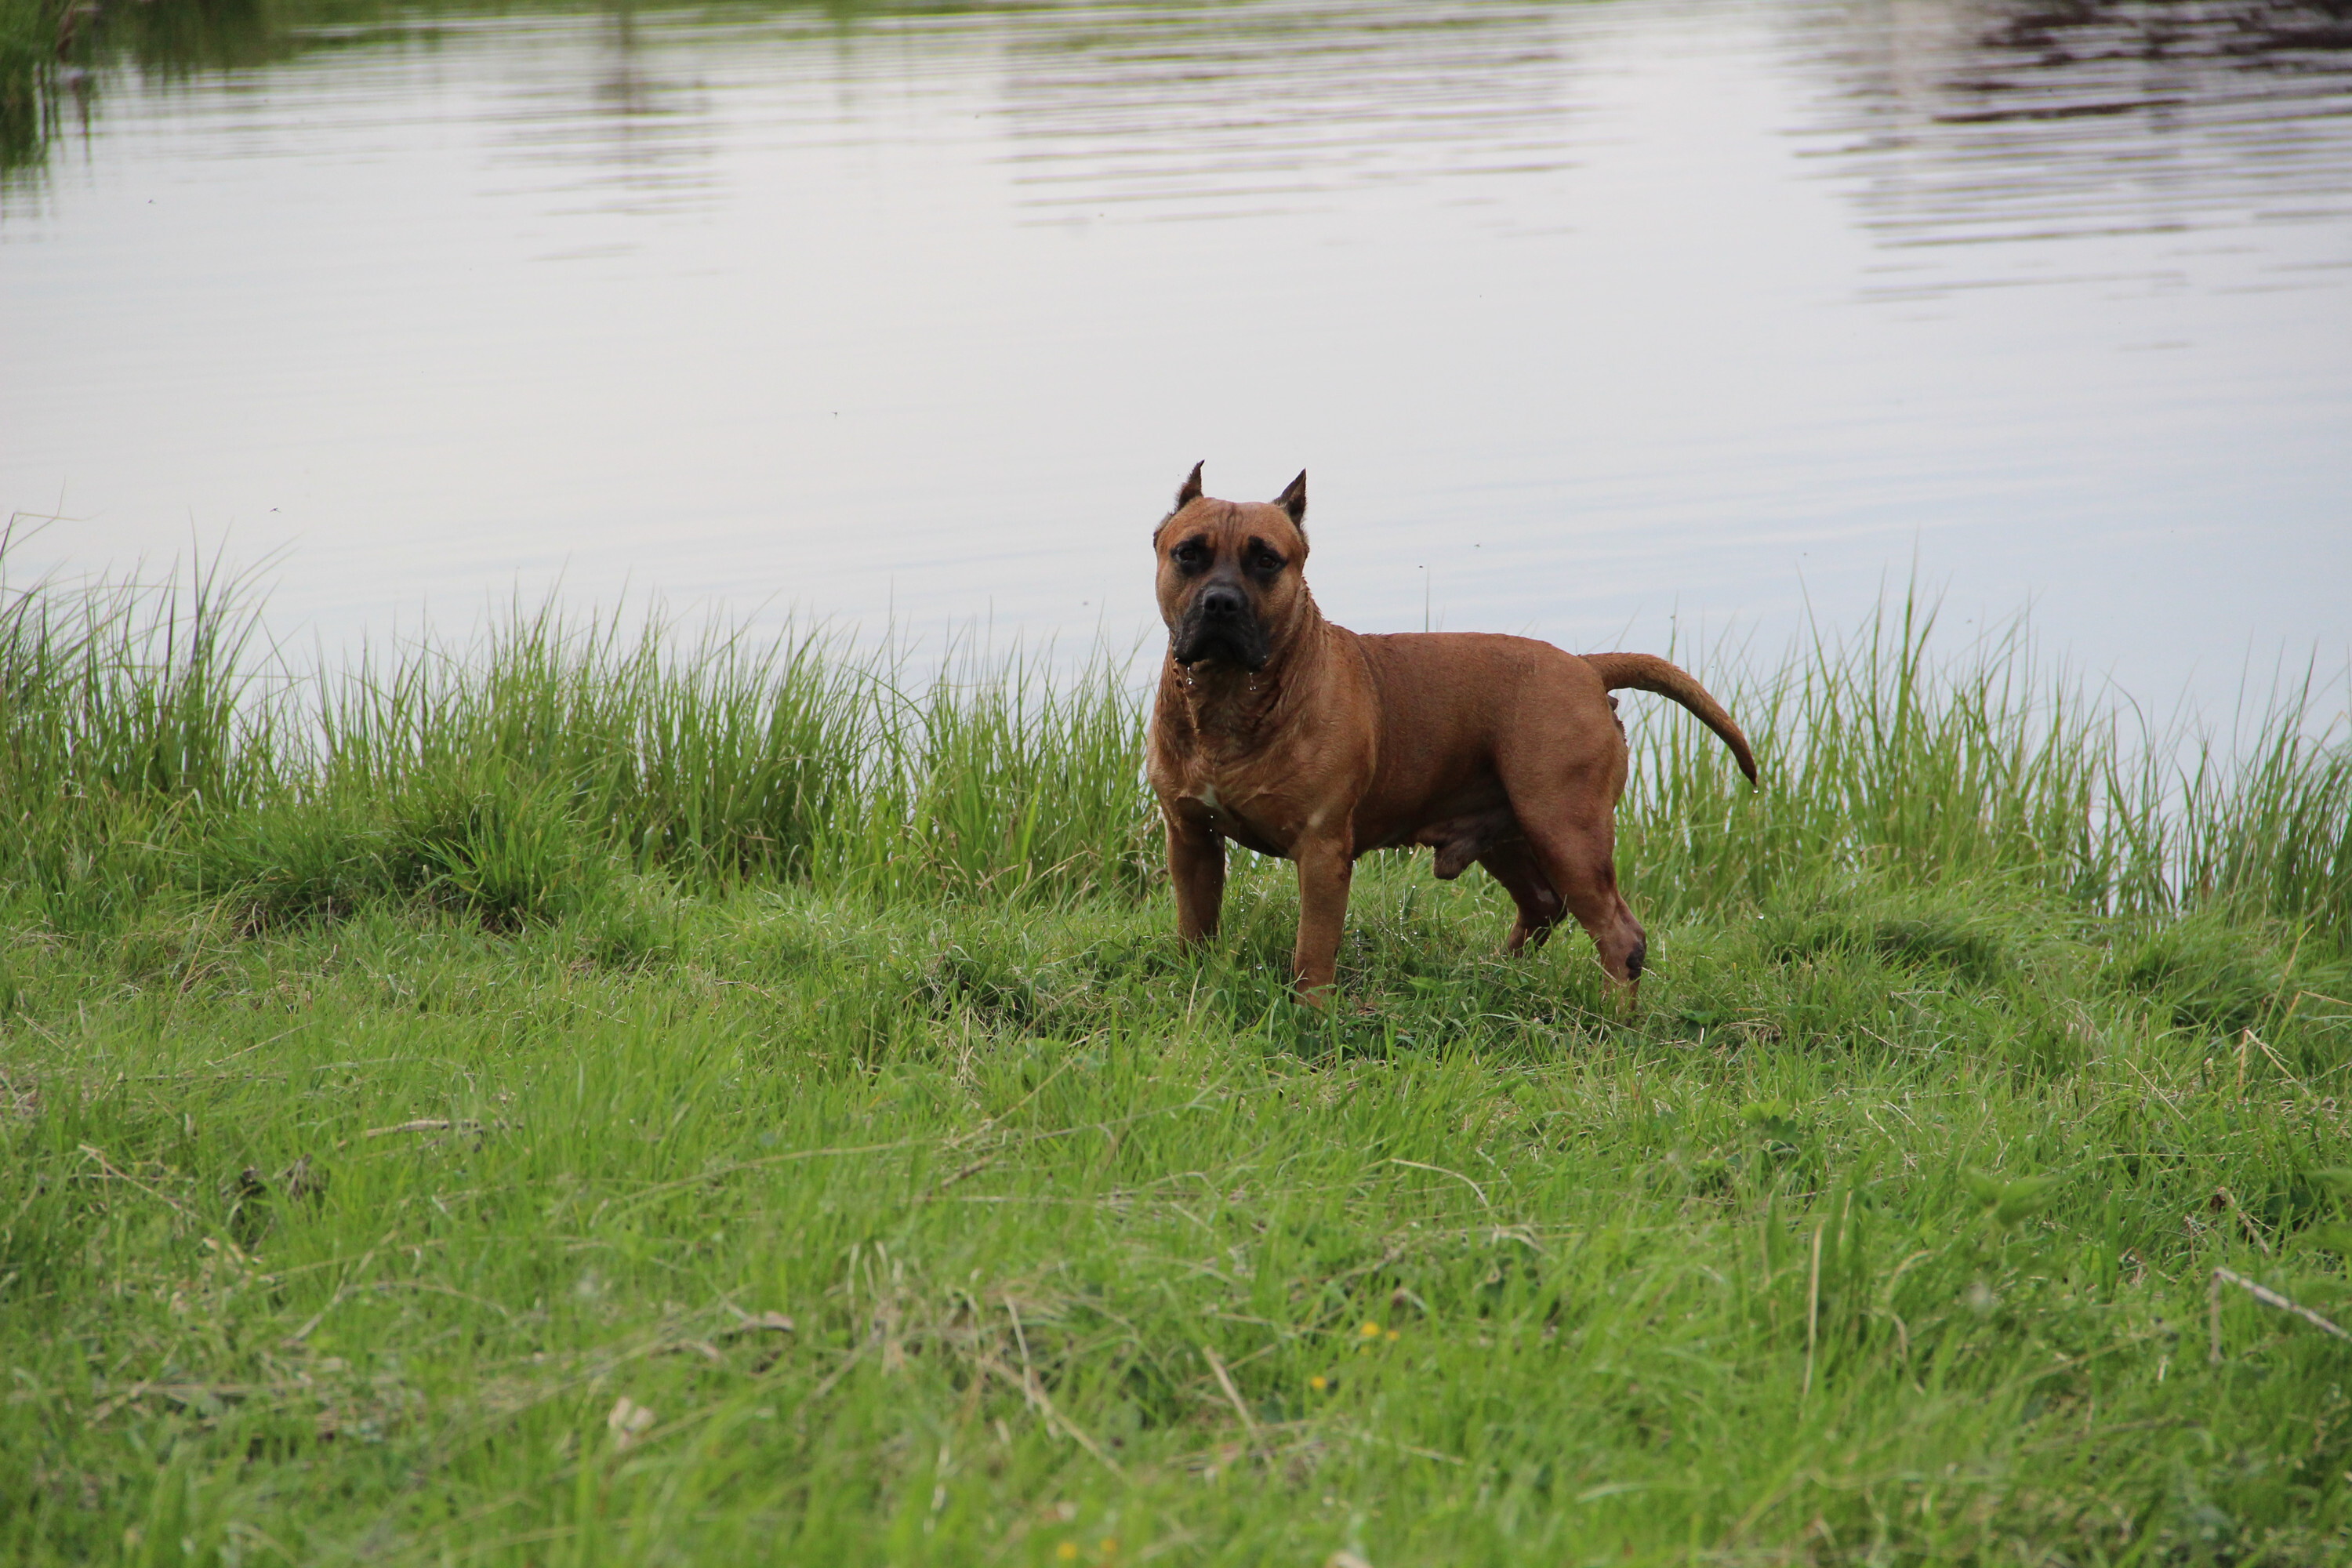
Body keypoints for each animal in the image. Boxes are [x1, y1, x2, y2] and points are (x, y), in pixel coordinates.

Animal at [1148, 463, 1759, 1006]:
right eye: (1189, 553)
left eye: (1266, 561)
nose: (1221, 602)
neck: (1229, 698)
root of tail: (1587, 668)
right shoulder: (1190, 839)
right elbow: (1194, 929)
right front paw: (1194, 988)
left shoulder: (1322, 854)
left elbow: (1312, 954)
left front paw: (1313, 1018)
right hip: (1511, 833)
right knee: (1542, 905)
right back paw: (1493, 974)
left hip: (1567, 833)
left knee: (1619, 936)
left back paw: (1611, 1026)